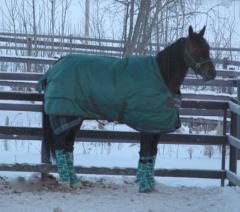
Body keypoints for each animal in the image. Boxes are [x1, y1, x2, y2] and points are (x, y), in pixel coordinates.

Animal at [39, 26, 216, 192]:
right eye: (194, 48)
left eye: (207, 47)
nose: (212, 74)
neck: (162, 77)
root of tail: (56, 65)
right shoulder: (148, 127)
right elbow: (146, 153)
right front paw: (144, 186)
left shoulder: (156, 128)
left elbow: (152, 153)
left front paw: (150, 185)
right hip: (65, 116)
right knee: (61, 145)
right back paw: (65, 182)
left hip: (76, 118)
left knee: (68, 147)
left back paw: (75, 181)